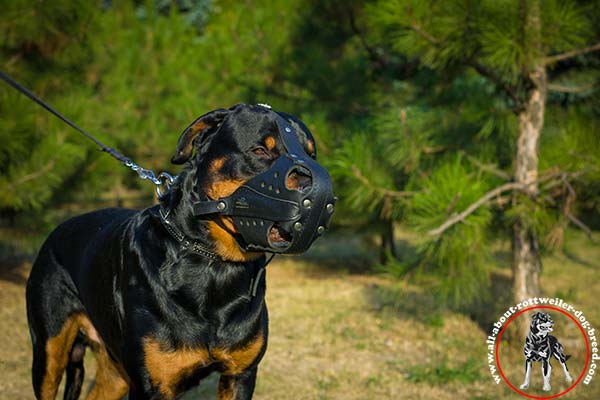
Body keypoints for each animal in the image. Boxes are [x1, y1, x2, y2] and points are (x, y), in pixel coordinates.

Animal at [25, 104, 330, 398]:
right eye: (260, 150)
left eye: (312, 155)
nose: (321, 190)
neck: (213, 263)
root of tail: (59, 228)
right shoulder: (153, 386)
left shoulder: (240, 374)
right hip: (49, 352)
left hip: (116, 371)